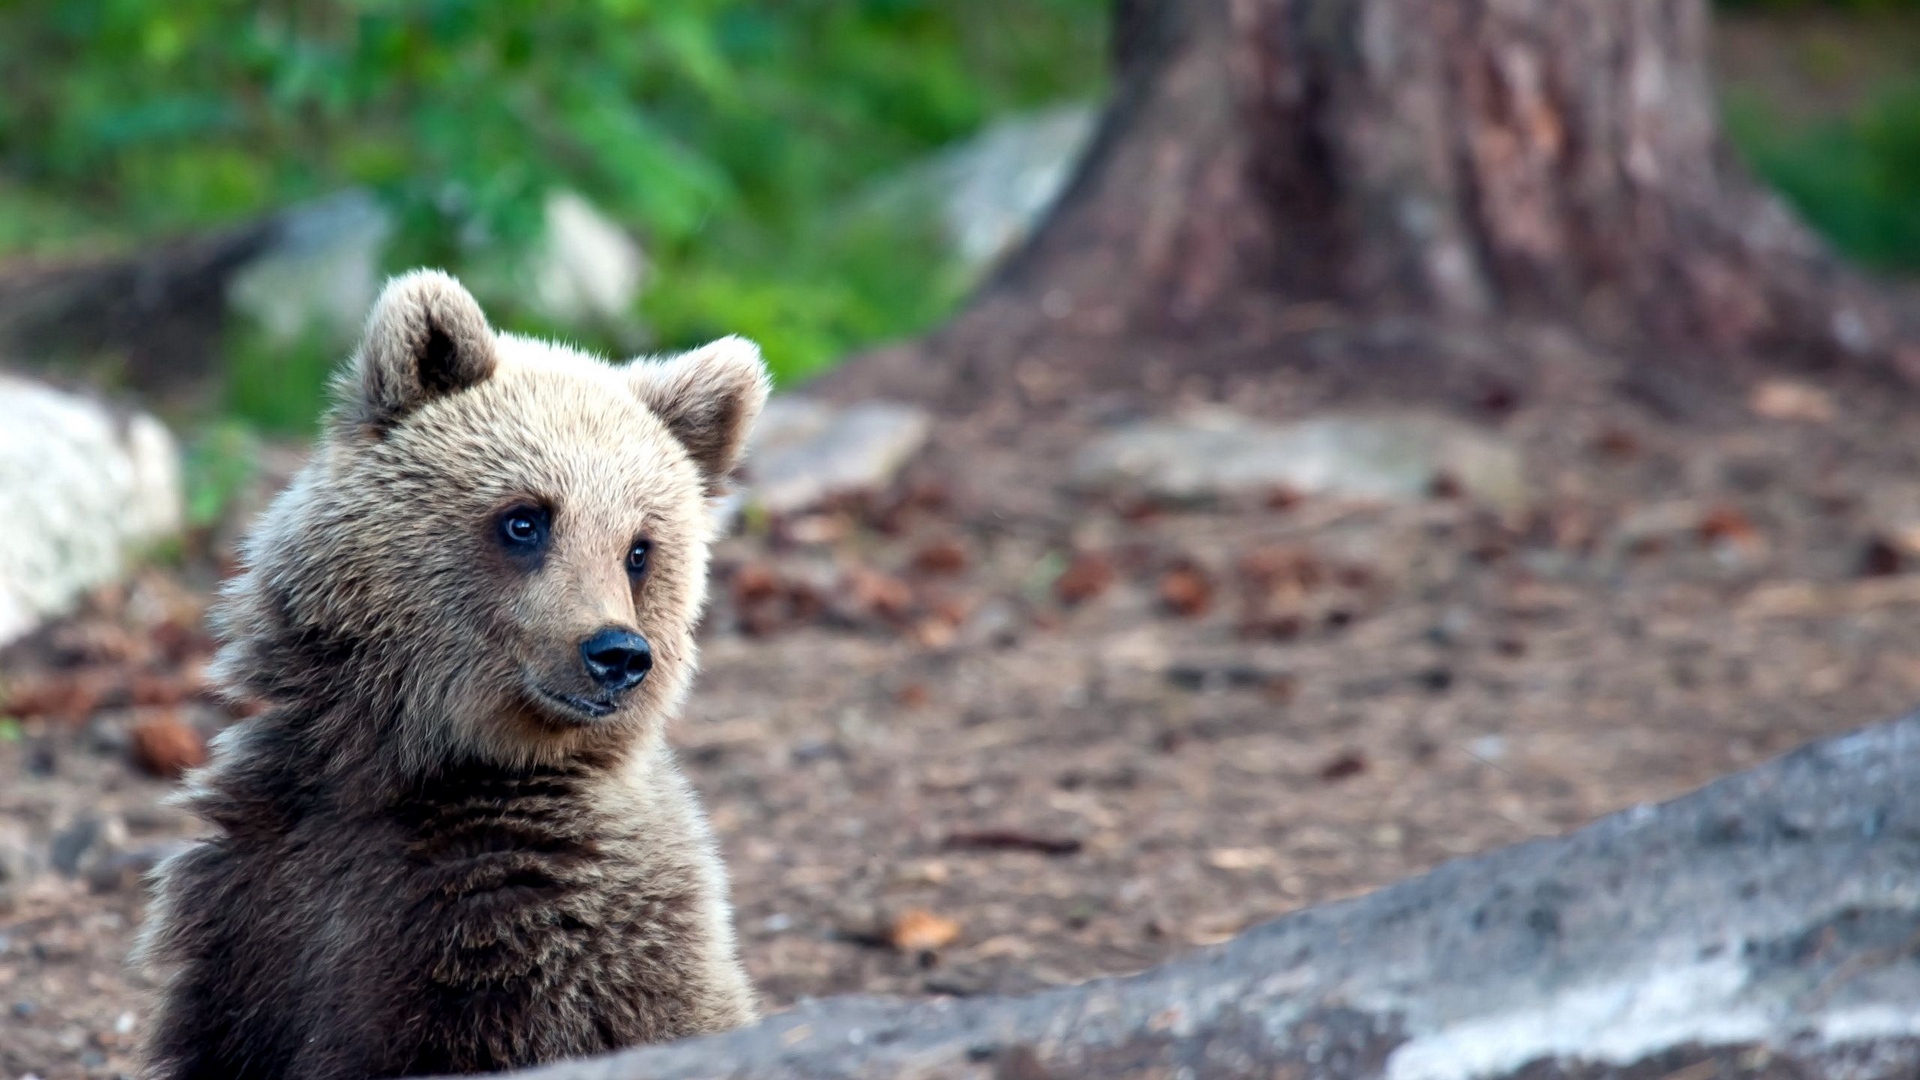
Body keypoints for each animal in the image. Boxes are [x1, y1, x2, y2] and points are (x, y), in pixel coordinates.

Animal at [136, 270, 768, 1080]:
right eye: (526, 518)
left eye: (639, 548)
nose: (617, 654)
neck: (413, 762)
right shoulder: (266, 901)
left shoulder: (520, 946)